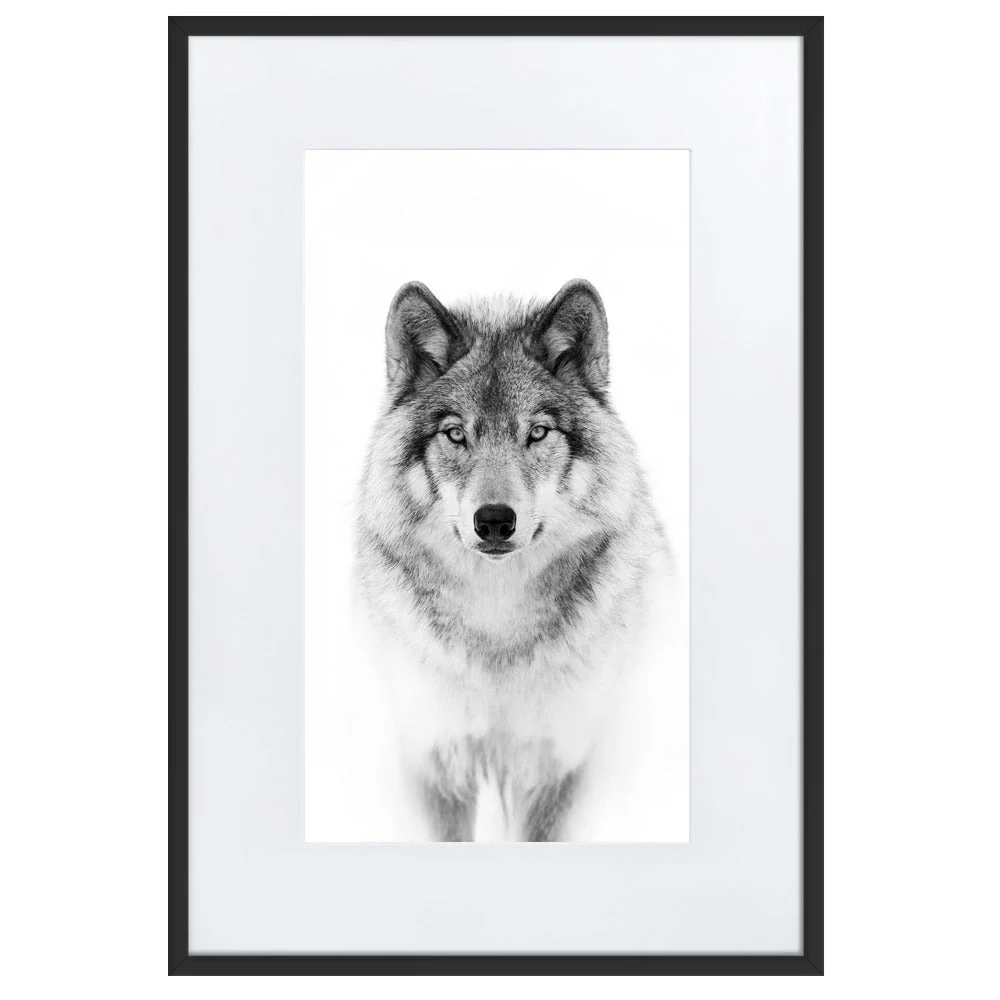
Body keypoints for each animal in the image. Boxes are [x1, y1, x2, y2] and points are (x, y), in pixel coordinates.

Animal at [354, 279, 670, 841]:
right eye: (457, 434)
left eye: (537, 432)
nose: (496, 520)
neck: (496, 627)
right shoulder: (438, 758)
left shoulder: (554, 764)